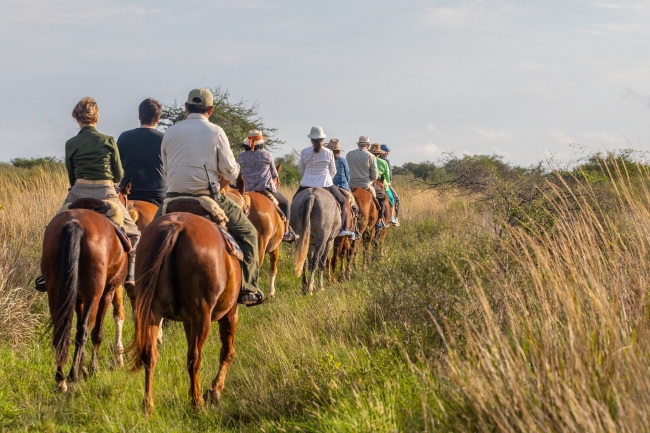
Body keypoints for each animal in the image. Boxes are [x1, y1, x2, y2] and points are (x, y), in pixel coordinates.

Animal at [41, 208, 128, 390]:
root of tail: (75, 223)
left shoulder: (78, 299)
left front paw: (83, 365)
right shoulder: (107, 294)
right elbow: (97, 333)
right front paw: (92, 368)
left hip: (55, 292)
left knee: (61, 332)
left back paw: (61, 380)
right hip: (94, 294)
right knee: (83, 332)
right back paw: (72, 376)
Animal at [129, 212, 243, 416]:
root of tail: (177, 226)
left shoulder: (188, 321)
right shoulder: (230, 314)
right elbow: (227, 352)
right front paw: (214, 391)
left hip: (153, 312)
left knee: (150, 354)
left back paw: (148, 406)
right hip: (203, 316)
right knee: (194, 357)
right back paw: (198, 402)